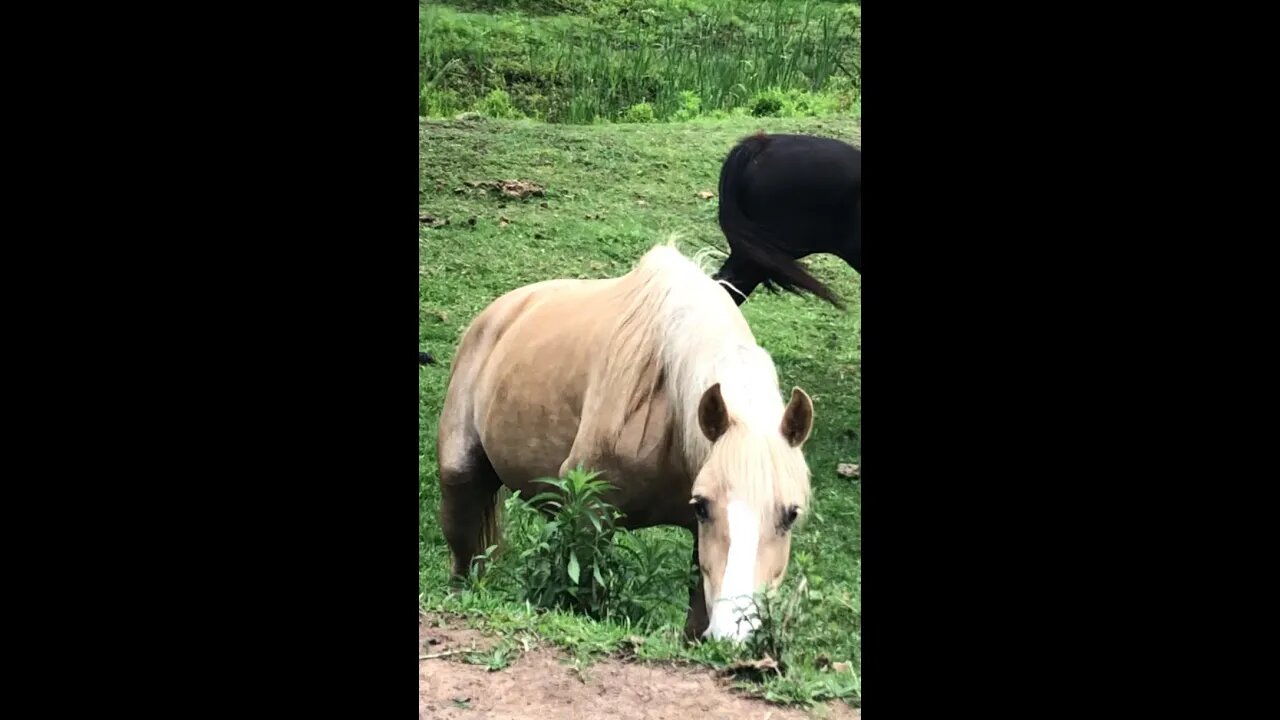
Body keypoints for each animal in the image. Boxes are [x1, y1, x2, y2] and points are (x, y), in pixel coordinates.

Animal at [440, 242, 814, 638]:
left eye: (791, 514)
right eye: (703, 506)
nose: (734, 634)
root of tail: (499, 312)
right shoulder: (591, 515)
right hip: (460, 477)